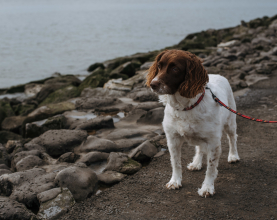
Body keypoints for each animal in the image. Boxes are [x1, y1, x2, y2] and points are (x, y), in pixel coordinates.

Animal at [146, 50, 238, 198]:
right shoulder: (173, 139)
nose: (153, 84)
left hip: (230, 122)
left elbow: (211, 168)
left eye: (175, 69)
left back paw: (233, 156)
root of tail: (218, 75)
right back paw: (196, 163)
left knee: (232, 138)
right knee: (200, 148)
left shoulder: (213, 142)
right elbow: (175, 163)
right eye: (159, 66)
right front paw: (175, 181)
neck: (185, 107)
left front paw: (207, 188)